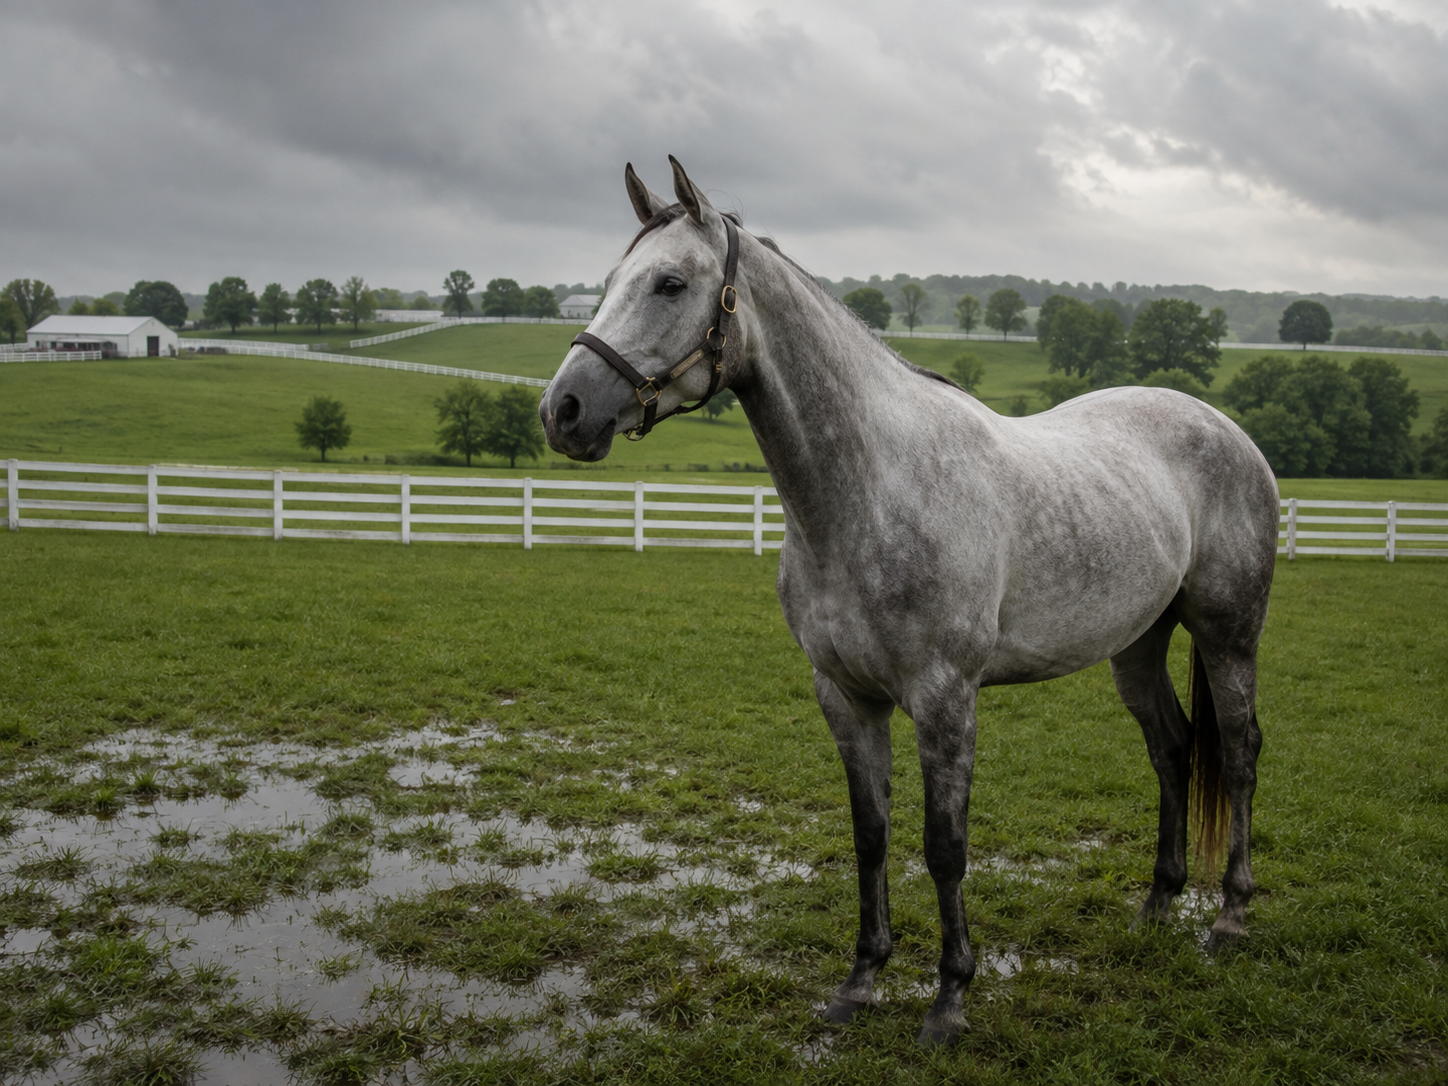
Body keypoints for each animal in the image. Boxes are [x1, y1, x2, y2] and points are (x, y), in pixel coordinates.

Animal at [540, 157, 1277, 1047]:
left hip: (1228, 634)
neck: (871, 490)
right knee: (1171, 748)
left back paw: (1229, 917)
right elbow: (871, 836)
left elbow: (944, 845)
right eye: (609, 282)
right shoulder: (847, 696)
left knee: (1237, 752)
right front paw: (859, 983)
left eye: (670, 283)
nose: (563, 411)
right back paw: (1157, 906)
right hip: (1137, 643)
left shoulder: (944, 697)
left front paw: (950, 999)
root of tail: (1226, 429)